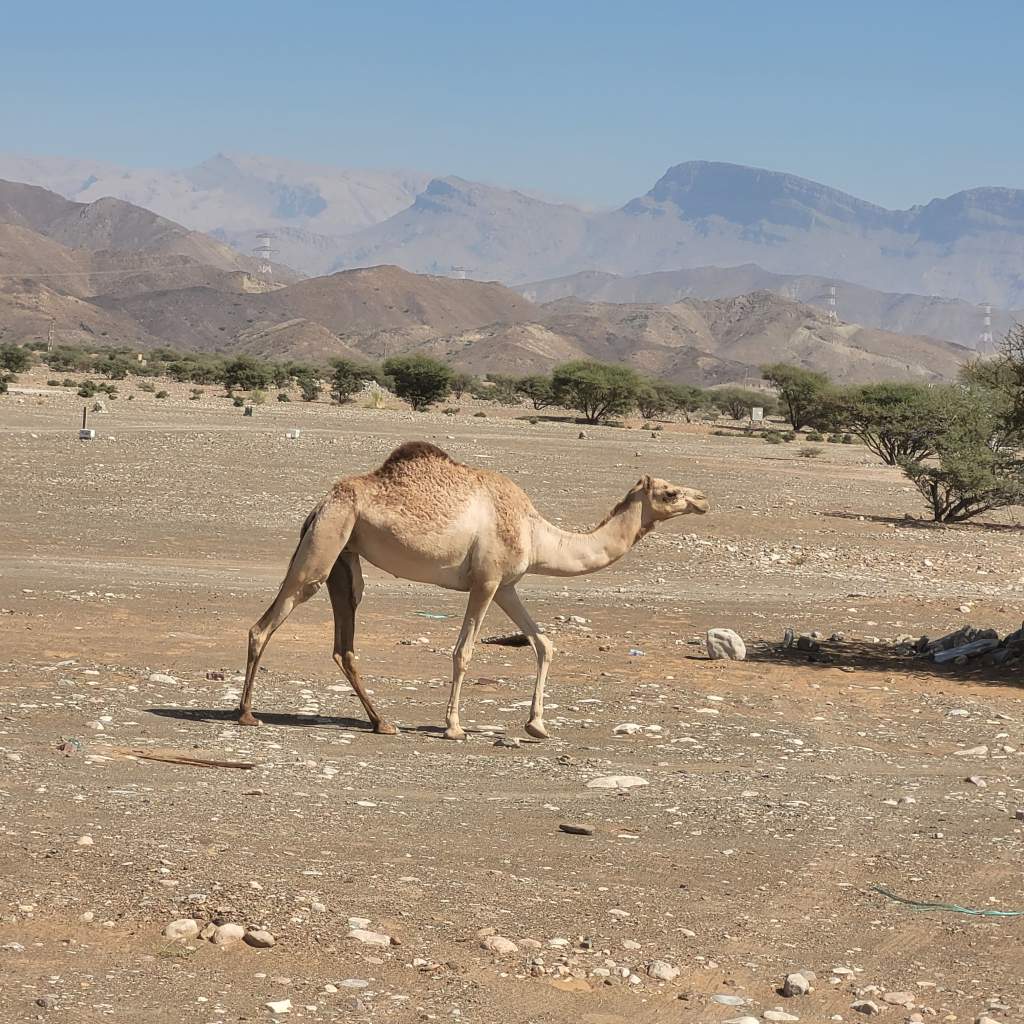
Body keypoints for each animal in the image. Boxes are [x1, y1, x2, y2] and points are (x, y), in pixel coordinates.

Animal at [239, 441, 708, 740]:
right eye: (670, 492)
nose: (703, 500)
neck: (536, 532)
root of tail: (319, 504)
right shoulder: (485, 581)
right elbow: (464, 652)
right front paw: (453, 726)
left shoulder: (507, 585)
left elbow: (544, 643)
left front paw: (537, 725)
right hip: (327, 539)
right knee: (269, 622)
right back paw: (246, 714)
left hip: (344, 554)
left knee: (344, 641)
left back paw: (382, 722)